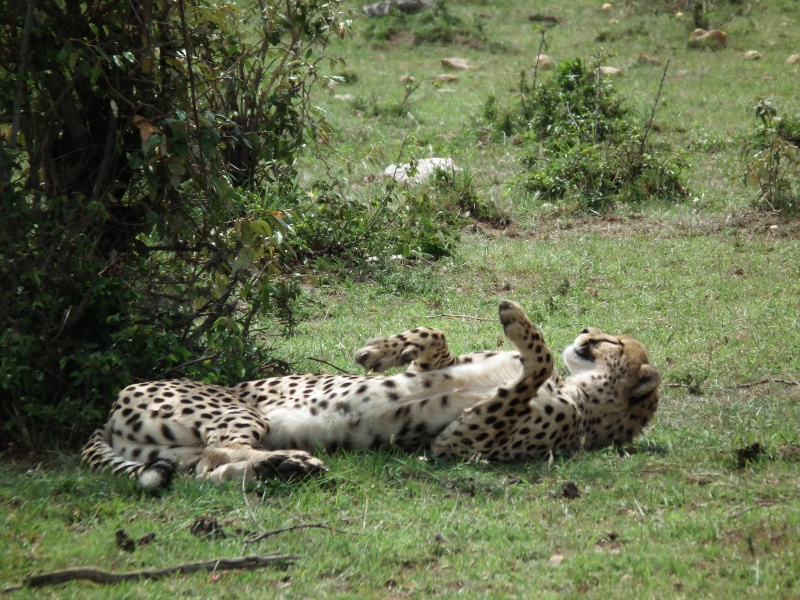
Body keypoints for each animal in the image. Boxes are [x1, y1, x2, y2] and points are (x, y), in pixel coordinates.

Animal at [79, 302, 664, 490]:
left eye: (614, 342)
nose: (586, 333)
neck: (579, 396)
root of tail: (107, 416)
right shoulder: (445, 370)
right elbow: (434, 341)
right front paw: (382, 351)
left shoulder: (455, 446)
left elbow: (532, 362)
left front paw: (521, 323)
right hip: (230, 410)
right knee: (211, 461)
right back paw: (286, 464)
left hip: (225, 423)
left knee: (211, 462)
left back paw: (288, 464)